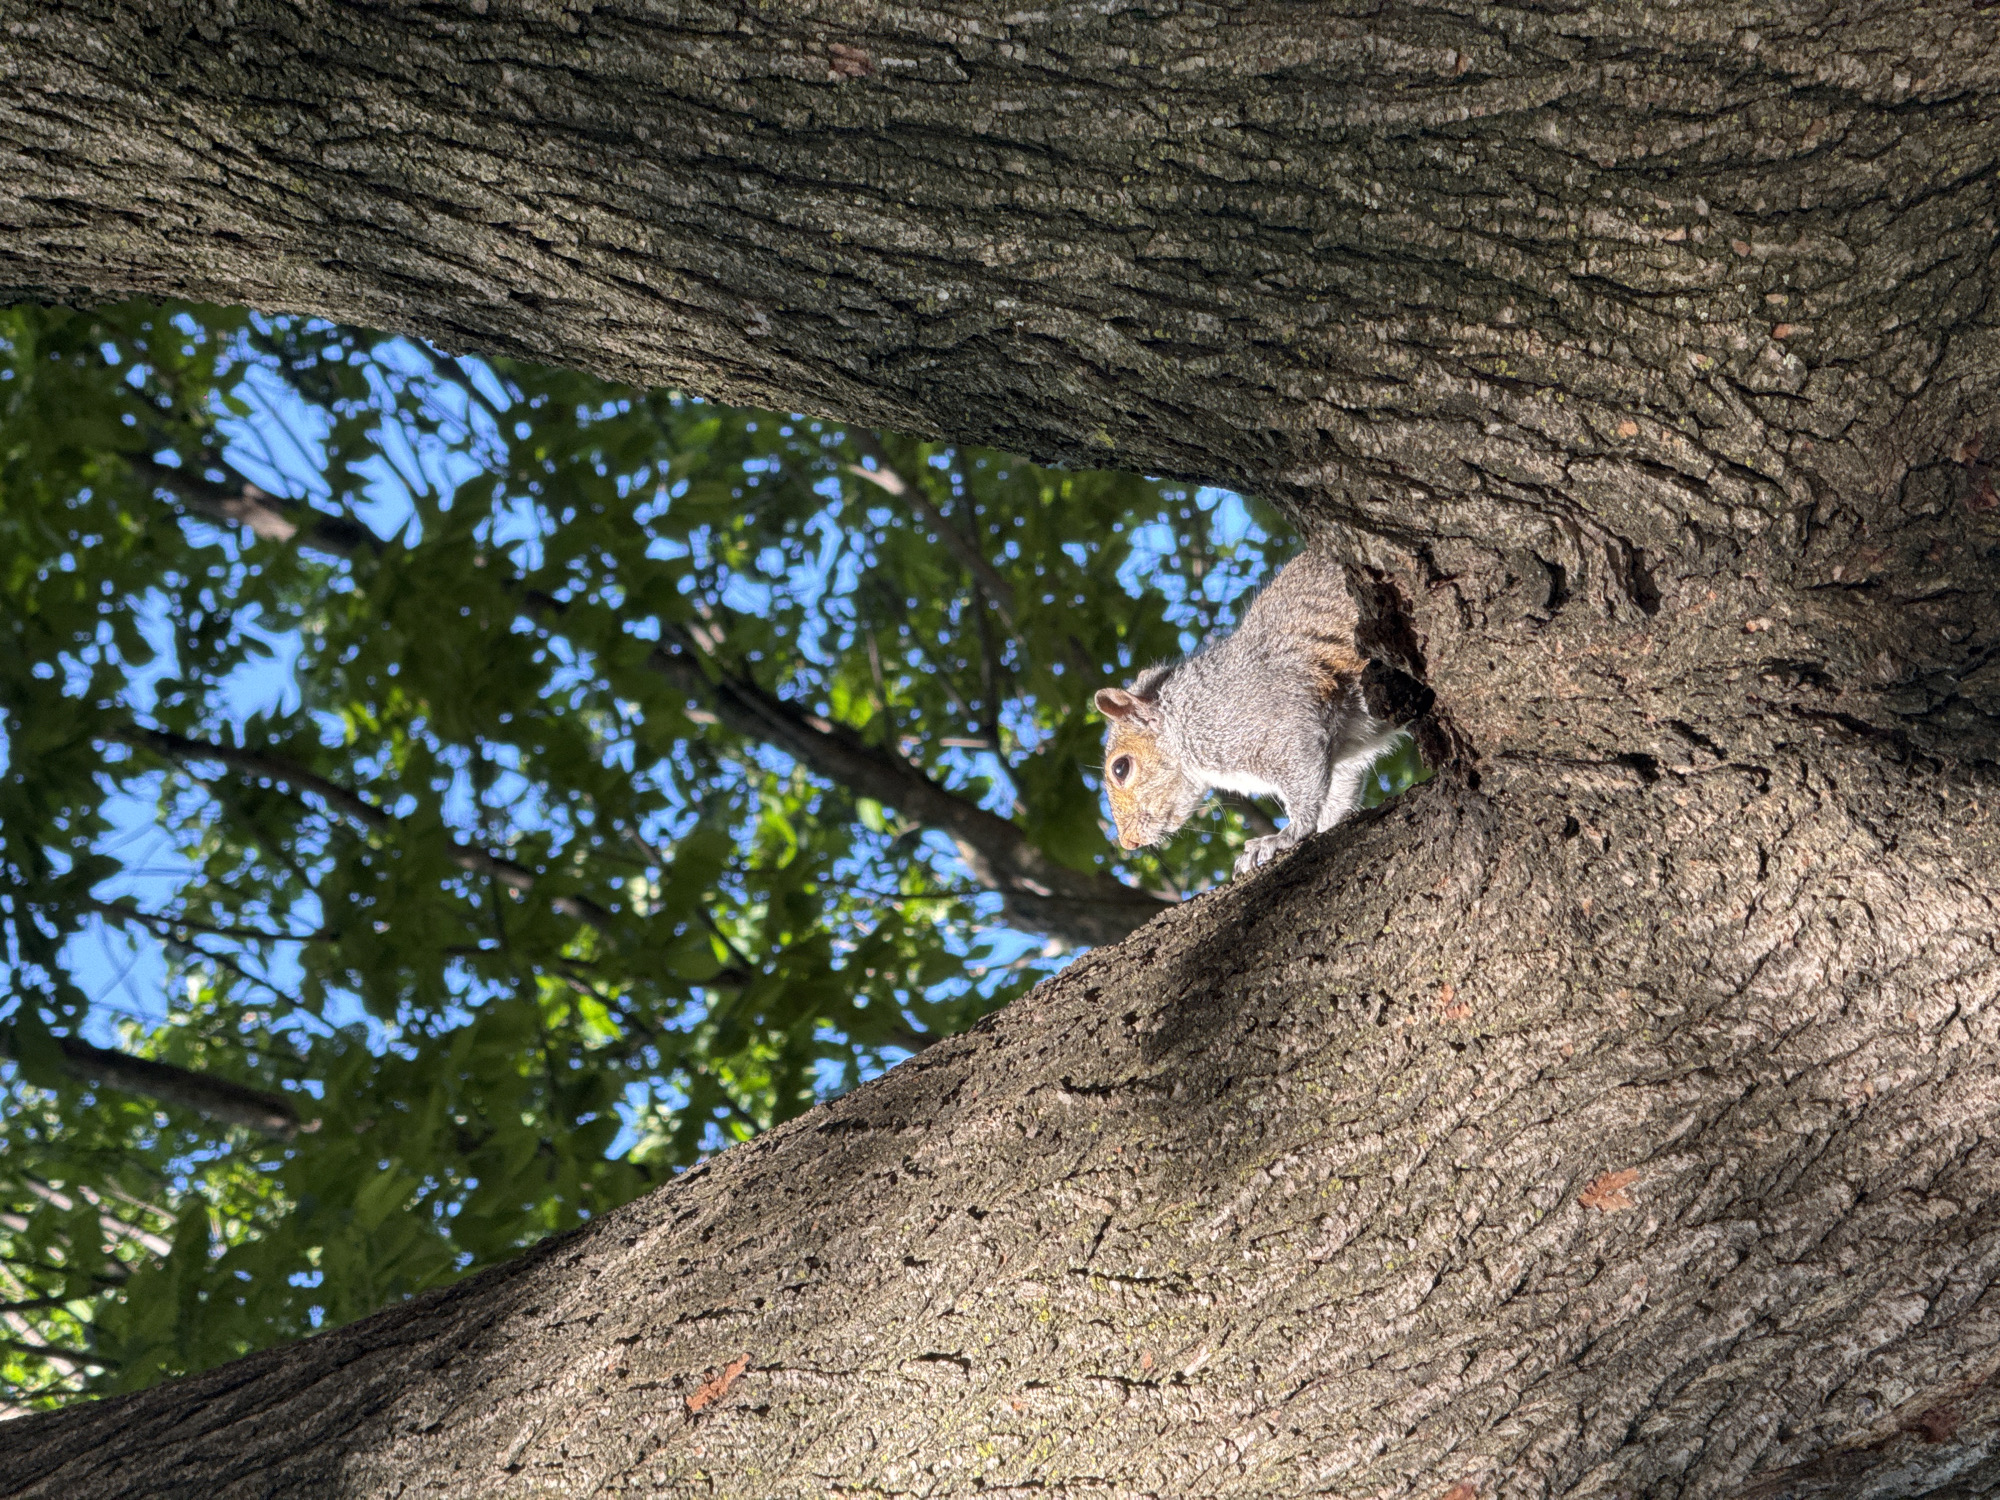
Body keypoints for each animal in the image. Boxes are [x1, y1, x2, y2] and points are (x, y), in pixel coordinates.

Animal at [1095, 547, 1407, 878]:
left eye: (1120, 768)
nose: (1128, 842)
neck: (1184, 718)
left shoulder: (1278, 721)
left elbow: (1304, 777)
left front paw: (1286, 835)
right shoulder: (1348, 753)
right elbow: (1341, 791)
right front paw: (1326, 826)